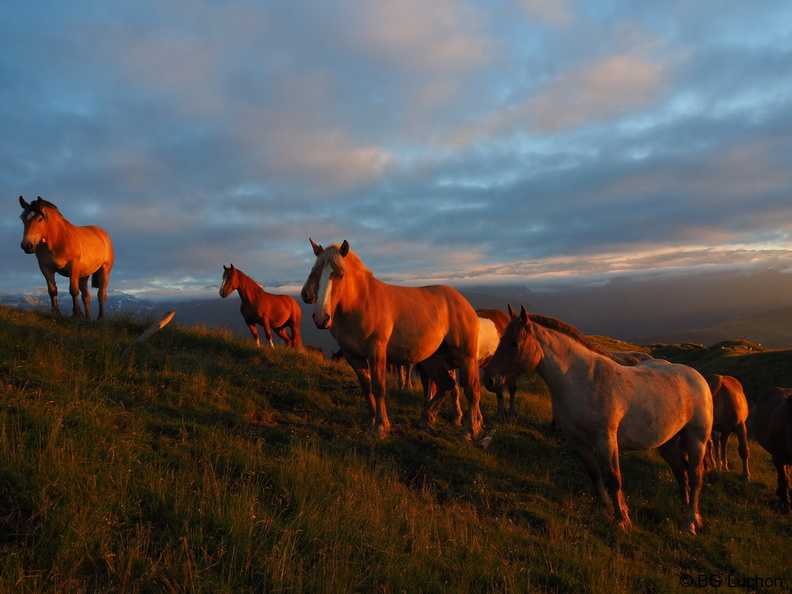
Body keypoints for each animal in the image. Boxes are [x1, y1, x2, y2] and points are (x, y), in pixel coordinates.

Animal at [300, 238, 480, 438]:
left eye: (340, 275)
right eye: (315, 272)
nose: (321, 317)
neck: (361, 303)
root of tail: (463, 302)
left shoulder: (377, 351)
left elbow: (379, 387)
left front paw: (380, 427)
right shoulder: (353, 356)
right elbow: (367, 387)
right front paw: (371, 422)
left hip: (465, 356)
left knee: (471, 389)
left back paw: (470, 430)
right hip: (432, 360)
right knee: (446, 385)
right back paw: (426, 419)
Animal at [482, 306, 712, 532]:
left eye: (514, 343)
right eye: (501, 340)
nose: (489, 380)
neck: (582, 380)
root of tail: (697, 376)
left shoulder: (606, 441)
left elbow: (613, 478)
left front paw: (622, 520)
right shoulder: (579, 442)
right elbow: (594, 474)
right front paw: (603, 511)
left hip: (696, 440)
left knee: (695, 475)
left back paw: (690, 522)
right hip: (667, 442)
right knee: (681, 471)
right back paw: (687, 513)